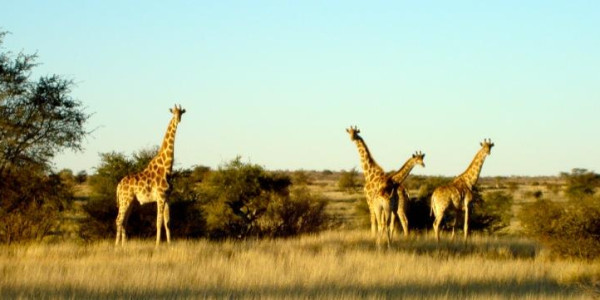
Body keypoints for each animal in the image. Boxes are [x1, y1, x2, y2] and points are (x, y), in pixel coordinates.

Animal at [114, 104, 185, 245]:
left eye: (181, 113)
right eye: (173, 112)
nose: (178, 120)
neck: (166, 168)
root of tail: (118, 185)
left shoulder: (167, 197)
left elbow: (167, 222)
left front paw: (169, 244)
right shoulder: (160, 196)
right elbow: (158, 222)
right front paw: (157, 245)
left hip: (131, 201)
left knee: (124, 221)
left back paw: (123, 245)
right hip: (125, 200)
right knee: (118, 220)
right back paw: (116, 245)